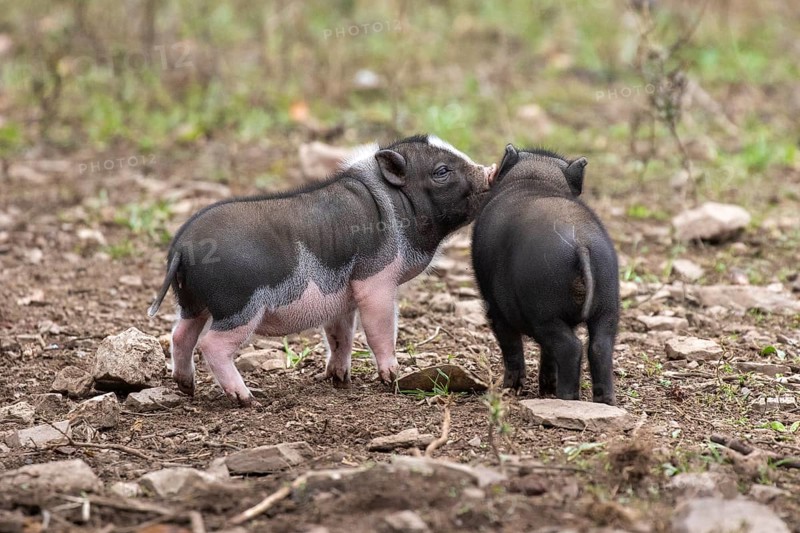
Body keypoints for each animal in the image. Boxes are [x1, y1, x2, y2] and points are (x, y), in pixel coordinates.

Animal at [148, 135, 497, 406]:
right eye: (441, 171)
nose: (491, 171)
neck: (394, 205)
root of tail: (181, 247)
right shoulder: (376, 279)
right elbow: (380, 328)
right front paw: (391, 377)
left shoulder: (343, 296)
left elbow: (340, 334)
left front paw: (340, 380)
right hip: (238, 306)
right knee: (211, 345)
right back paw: (248, 399)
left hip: (193, 301)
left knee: (180, 334)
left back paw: (187, 388)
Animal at [472, 144, 619, 405]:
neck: (536, 177)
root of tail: (580, 243)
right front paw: (544, 389)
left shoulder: (494, 307)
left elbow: (511, 345)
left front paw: (510, 389)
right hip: (607, 303)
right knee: (600, 346)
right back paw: (605, 402)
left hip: (543, 310)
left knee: (570, 347)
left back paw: (565, 398)